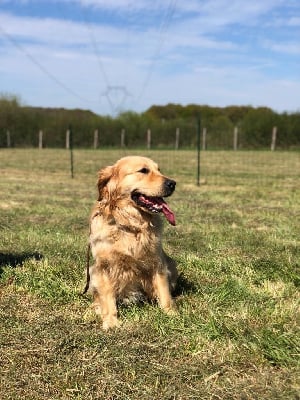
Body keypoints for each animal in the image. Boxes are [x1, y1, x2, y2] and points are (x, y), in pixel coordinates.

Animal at [85, 155, 178, 330]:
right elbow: (107, 296)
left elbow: (164, 291)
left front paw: (171, 313)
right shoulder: (104, 266)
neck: (131, 224)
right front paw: (111, 321)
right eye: (143, 170)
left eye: (159, 170)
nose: (172, 183)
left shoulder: (157, 261)